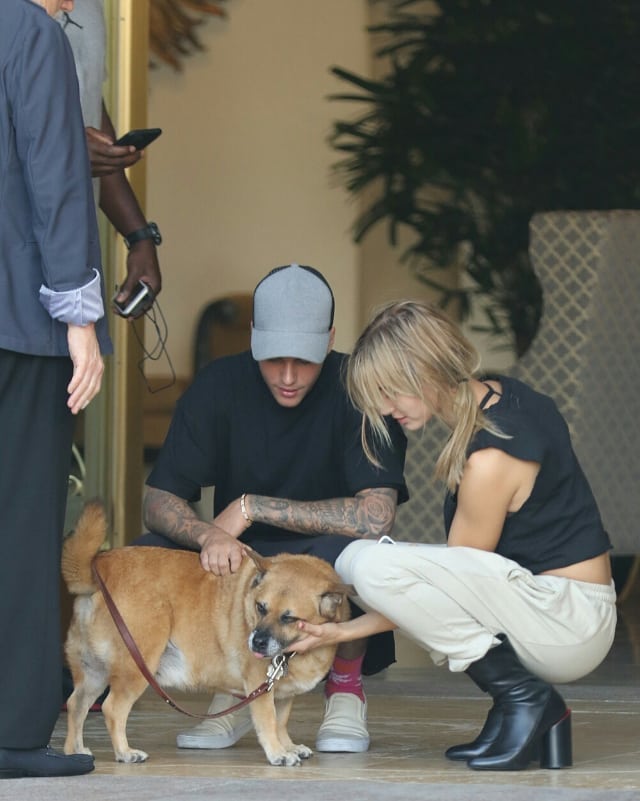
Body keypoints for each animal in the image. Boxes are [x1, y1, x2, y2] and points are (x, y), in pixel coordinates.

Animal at [60, 500, 350, 768]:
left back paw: (75, 751)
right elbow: (268, 722)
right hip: (135, 668)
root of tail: (99, 569)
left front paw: (288, 745)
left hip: (95, 671)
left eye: (289, 618)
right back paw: (124, 752)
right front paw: (278, 752)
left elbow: (281, 722)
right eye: (260, 607)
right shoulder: (261, 686)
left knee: (75, 705)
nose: (256, 642)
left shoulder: (283, 694)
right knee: (112, 709)